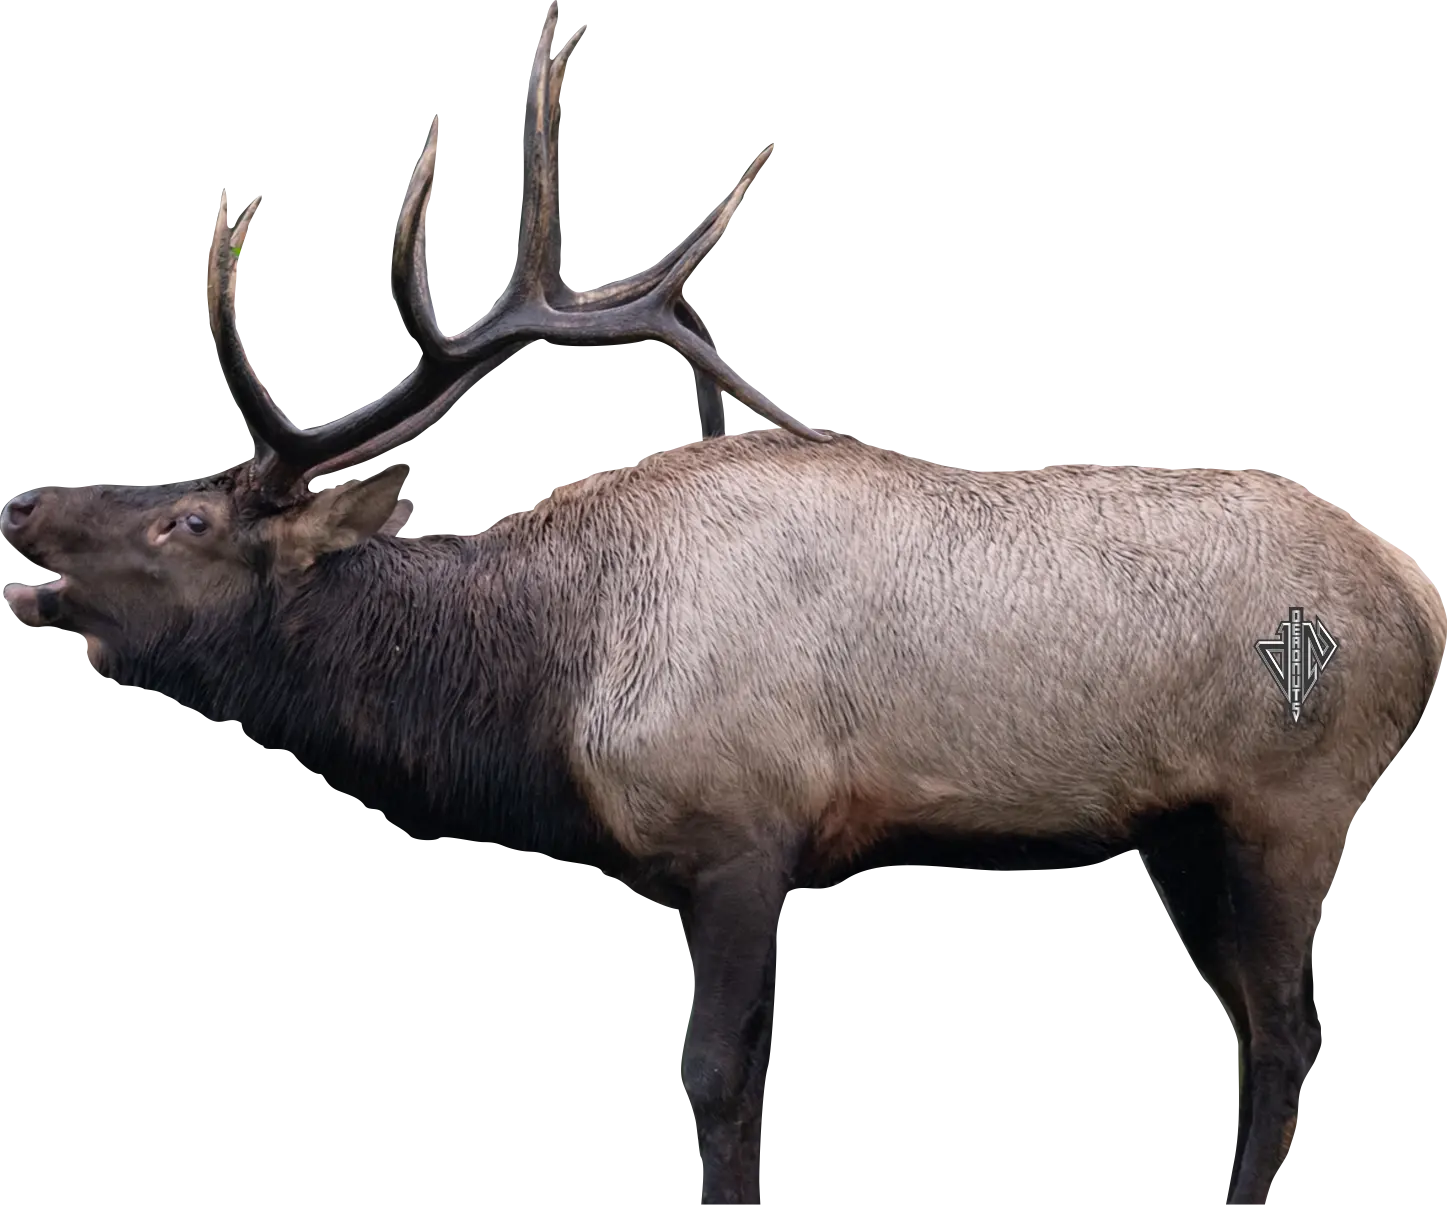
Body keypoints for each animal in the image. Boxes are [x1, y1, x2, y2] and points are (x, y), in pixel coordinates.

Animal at [2, 3, 1443, 1203]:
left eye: (187, 521)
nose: (23, 499)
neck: (544, 685)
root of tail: (1416, 591)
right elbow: (746, 1092)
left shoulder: (741, 831)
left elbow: (713, 1088)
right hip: (1178, 831)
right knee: (1260, 1025)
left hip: (1289, 802)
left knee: (1286, 1033)